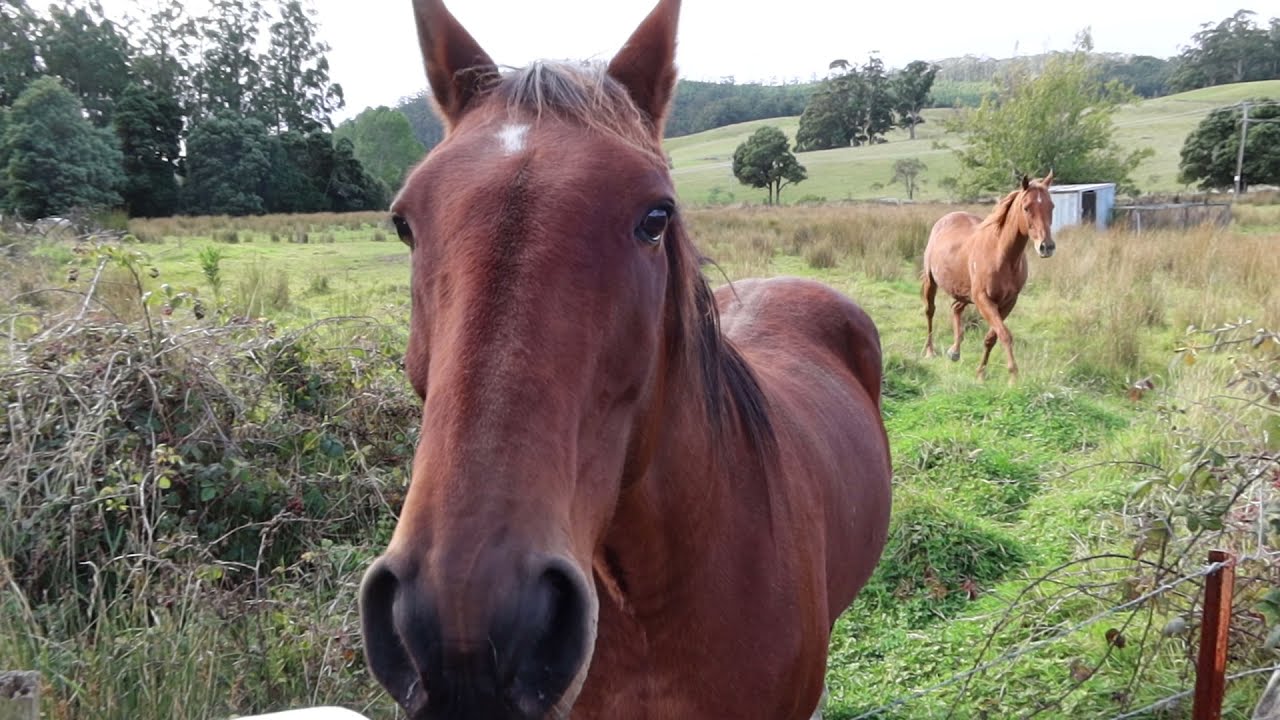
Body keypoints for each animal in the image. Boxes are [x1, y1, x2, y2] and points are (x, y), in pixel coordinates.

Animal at [920, 173, 1056, 381]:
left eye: (1051, 206)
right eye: (1026, 207)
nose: (1046, 247)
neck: (1001, 255)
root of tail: (948, 218)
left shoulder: (1008, 302)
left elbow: (991, 337)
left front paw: (980, 373)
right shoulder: (984, 299)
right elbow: (1005, 334)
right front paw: (1013, 377)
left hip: (965, 293)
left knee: (955, 308)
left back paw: (954, 351)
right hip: (932, 282)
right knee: (930, 311)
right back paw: (930, 351)